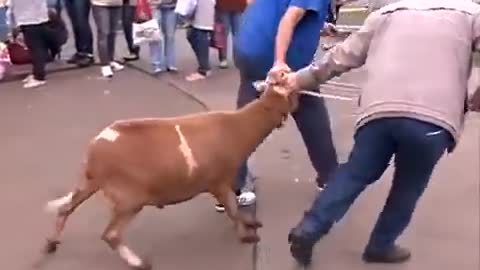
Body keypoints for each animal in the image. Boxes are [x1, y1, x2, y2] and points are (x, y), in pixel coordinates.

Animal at [43, 83, 298, 268]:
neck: (239, 127)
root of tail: (96, 149)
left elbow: (233, 207)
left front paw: (250, 223)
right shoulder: (219, 181)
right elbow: (232, 209)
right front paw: (246, 235)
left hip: (87, 185)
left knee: (65, 208)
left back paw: (52, 243)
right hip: (129, 200)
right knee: (110, 234)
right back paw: (137, 262)